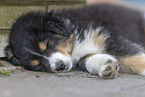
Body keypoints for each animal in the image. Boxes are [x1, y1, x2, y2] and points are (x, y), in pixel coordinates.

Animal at [3, 3, 145, 78]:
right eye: (36, 65)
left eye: (47, 43)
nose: (59, 66)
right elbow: (87, 60)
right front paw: (106, 65)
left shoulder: (108, 37)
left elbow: (131, 55)